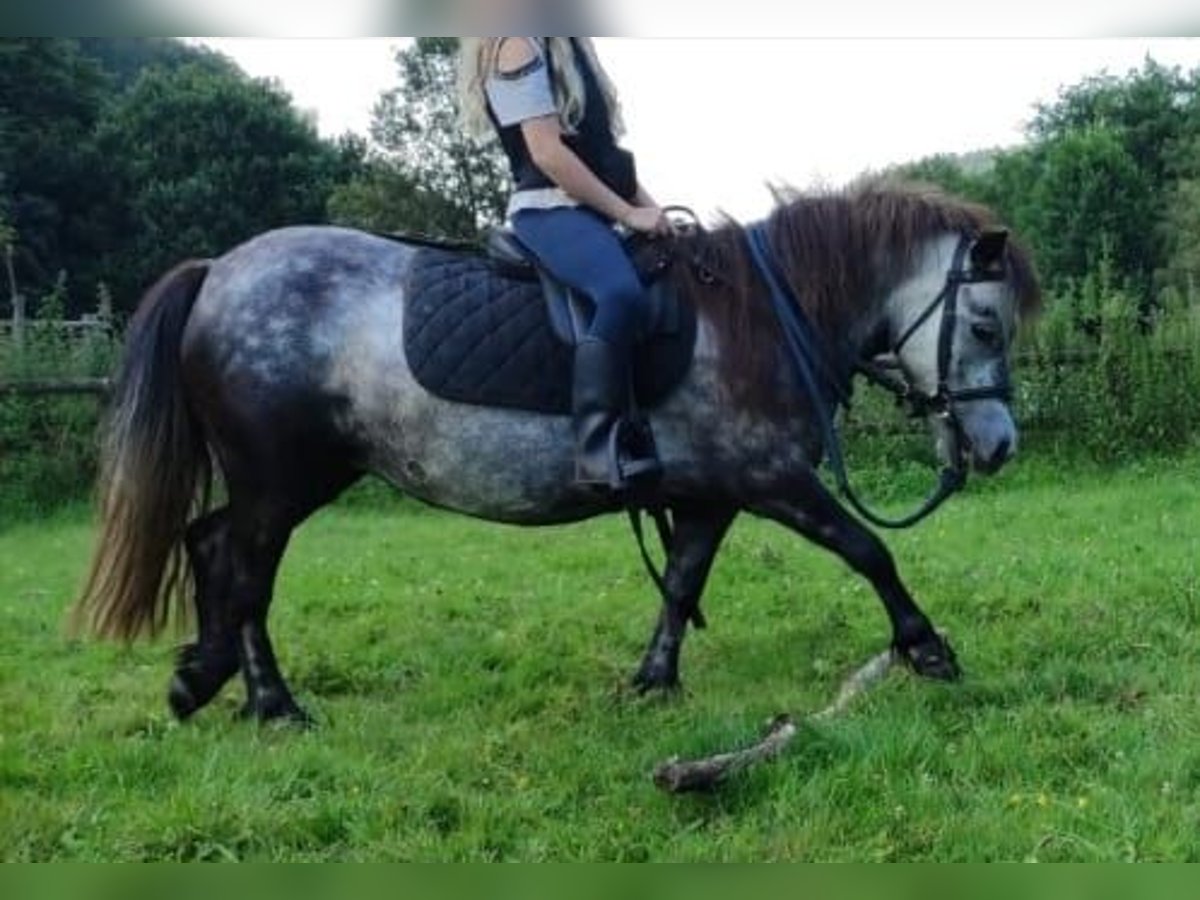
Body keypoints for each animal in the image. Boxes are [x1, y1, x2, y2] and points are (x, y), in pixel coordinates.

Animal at [77, 183, 1041, 724]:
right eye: (985, 325)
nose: (998, 446)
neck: (763, 317)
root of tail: (219, 272)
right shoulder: (772, 479)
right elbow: (869, 550)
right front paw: (928, 649)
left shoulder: (711, 493)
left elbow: (682, 582)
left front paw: (652, 684)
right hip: (279, 478)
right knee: (243, 571)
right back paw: (272, 705)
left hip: (295, 476)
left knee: (212, 547)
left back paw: (204, 683)